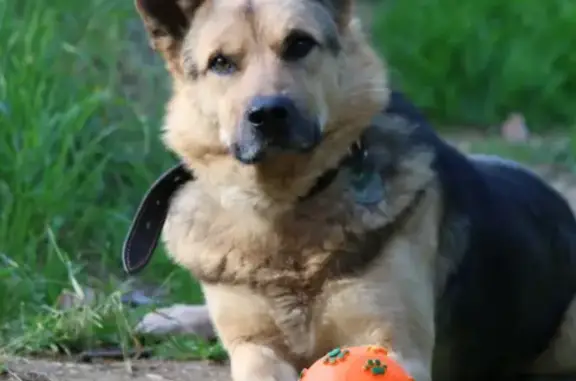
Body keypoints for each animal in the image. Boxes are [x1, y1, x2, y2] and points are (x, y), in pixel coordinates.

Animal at [124, 0, 576, 380]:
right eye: (220, 63)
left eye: (299, 44)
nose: (268, 113)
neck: (284, 203)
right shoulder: (254, 347)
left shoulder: (395, 344)